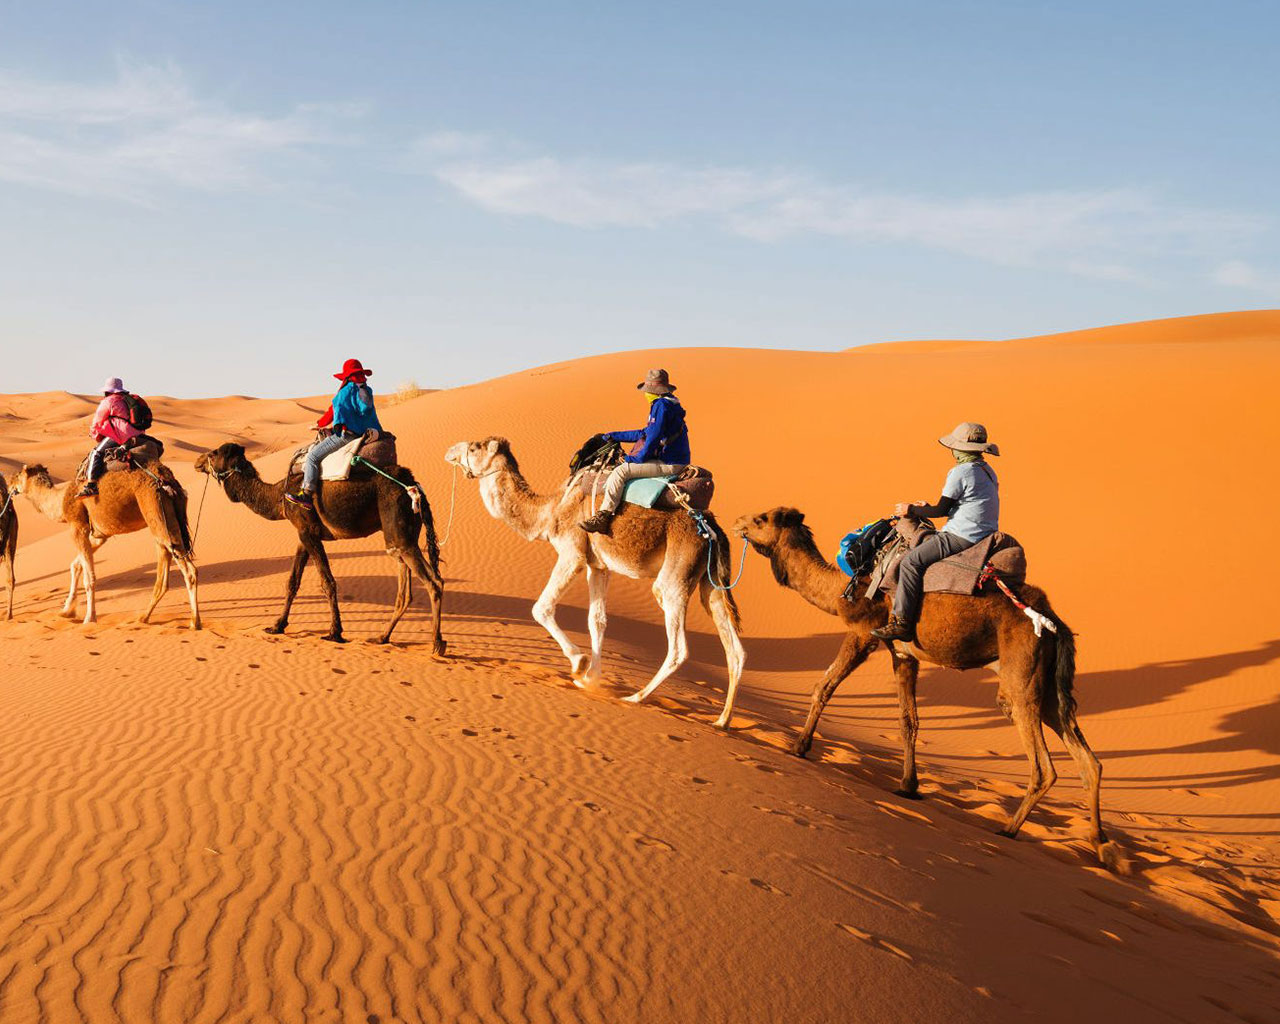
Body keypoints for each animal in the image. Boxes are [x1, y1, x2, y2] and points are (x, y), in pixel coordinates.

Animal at [9, 460, 199, 627]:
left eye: (18, 475)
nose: (10, 483)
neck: (61, 499)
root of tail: (167, 479)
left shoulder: (77, 526)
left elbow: (89, 578)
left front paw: (89, 618)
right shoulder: (99, 534)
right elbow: (76, 565)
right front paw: (67, 610)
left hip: (155, 509)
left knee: (188, 570)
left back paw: (194, 622)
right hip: (165, 520)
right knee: (164, 570)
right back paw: (143, 617)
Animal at [193, 437, 445, 647]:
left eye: (214, 453)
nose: (197, 462)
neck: (279, 496)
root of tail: (414, 485)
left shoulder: (309, 531)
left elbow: (328, 582)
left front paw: (335, 632)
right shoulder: (303, 533)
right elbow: (293, 581)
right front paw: (277, 626)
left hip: (398, 526)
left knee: (434, 581)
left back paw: (437, 644)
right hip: (402, 533)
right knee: (405, 587)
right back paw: (382, 637)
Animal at [445, 435, 747, 721]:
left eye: (474, 447)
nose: (450, 451)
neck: (551, 510)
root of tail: (712, 529)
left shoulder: (572, 553)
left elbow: (541, 608)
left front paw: (579, 664)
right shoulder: (598, 566)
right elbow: (597, 620)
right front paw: (592, 678)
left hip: (675, 574)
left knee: (678, 647)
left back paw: (635, 698)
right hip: (711, 581)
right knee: (734, 649)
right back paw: (722, 720)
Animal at [737, 506, 1116, 870]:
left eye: (762, 519)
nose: (739, 521)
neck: (846, 587)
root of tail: (1054, 622)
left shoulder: (863, 632)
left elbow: (824, 685)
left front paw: (799, 746)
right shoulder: (903, 653)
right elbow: (909, 721)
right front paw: (908, 786)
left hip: (1021, 678)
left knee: (1042, 765)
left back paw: (1008, 829)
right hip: (1048, 686)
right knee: (1088, 761)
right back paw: (1101, 847)